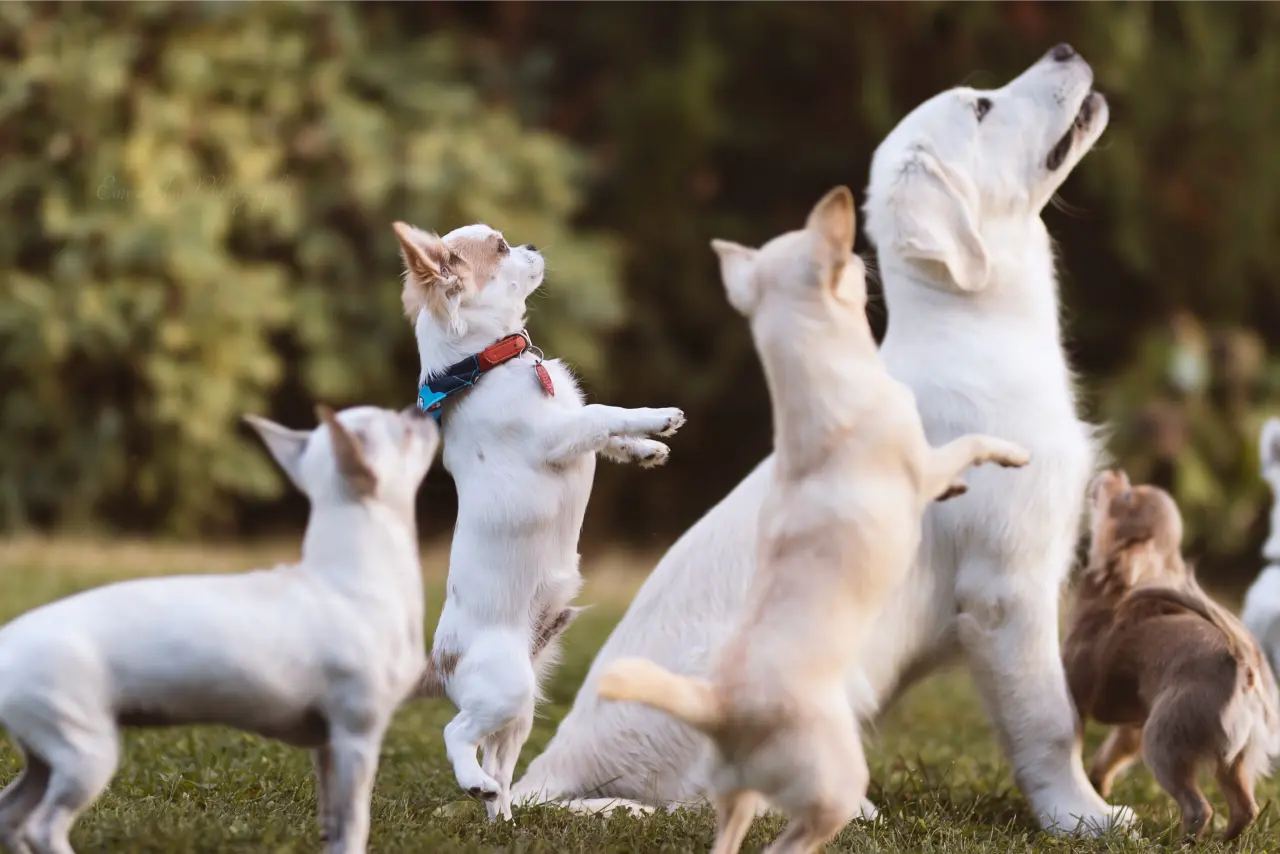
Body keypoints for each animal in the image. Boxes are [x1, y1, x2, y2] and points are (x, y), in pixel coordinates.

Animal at [394, 217, 686, 819]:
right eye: (502, 248)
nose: (531, 243)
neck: (490, 364)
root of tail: (440, 661)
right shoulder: (556, 435)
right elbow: (602, 415)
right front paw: (657, 418)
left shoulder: (572, 429)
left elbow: (604, 431)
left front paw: (645, 449)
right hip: (503, 687)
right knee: (456, 734)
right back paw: (473, 783)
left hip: (520, 708)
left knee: (499, 766)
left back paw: (500, 814)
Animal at [596, 188, 1029, 854]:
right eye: (848, 261)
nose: (864, 261)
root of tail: (721, 705)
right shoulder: (923, 463)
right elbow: (969, 444)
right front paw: (1007, 455)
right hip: (833, 785)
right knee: (790, 842)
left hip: (736, 792)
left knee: (731, 838)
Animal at [1059, 471, 1280, 845]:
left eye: (1126, 496)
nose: (1116, 472)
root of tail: (1245, 667)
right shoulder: (1132, 728)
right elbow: (1108, 758)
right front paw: (1097, 787)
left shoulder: (1079, 695)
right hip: (1233, 761)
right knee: (1245, 808)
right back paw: (1222, 842)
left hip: (1163, 743)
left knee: (1199, 808)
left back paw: (1174, 844)